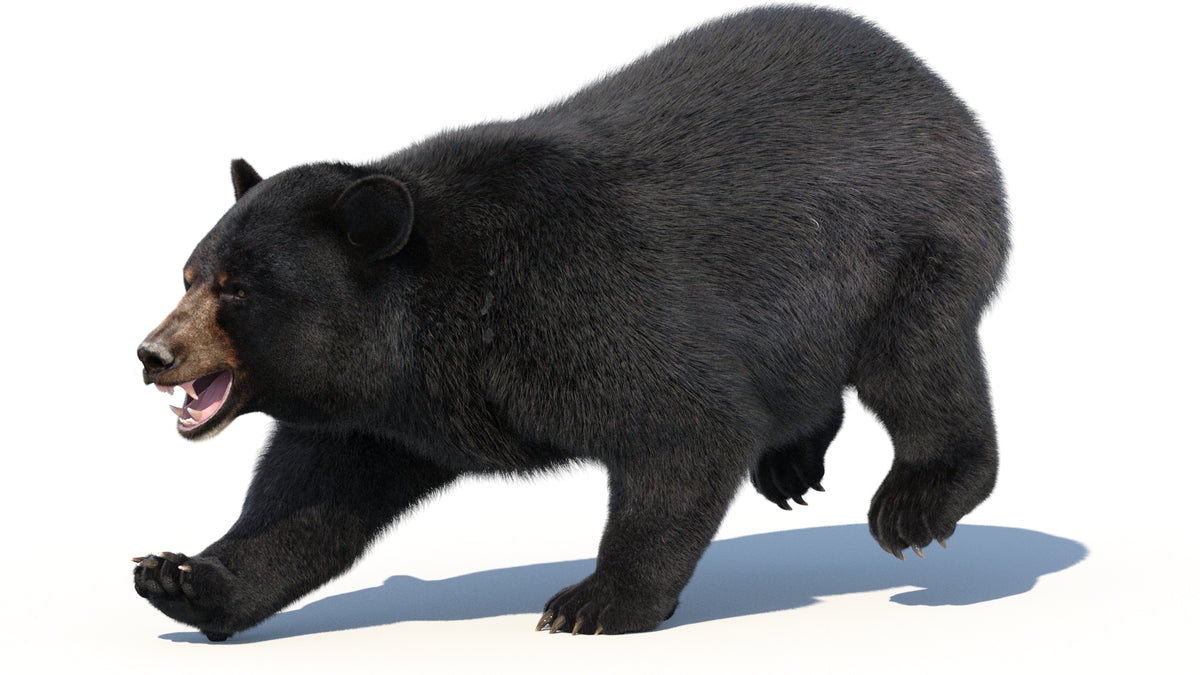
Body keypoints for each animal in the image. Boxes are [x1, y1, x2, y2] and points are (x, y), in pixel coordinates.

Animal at [133, 6, 1007, 642]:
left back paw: (916, 502)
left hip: (906, 249)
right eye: (188, 275)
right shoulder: (384, 413)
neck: (434, 322)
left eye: (236, 289)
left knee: (919, 364)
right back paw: (791, 462)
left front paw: (595, 600)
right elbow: (306, 499)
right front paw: (180, 577)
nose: (152, 352)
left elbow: (687, 426)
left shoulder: (578, 304)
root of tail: (935, 84)